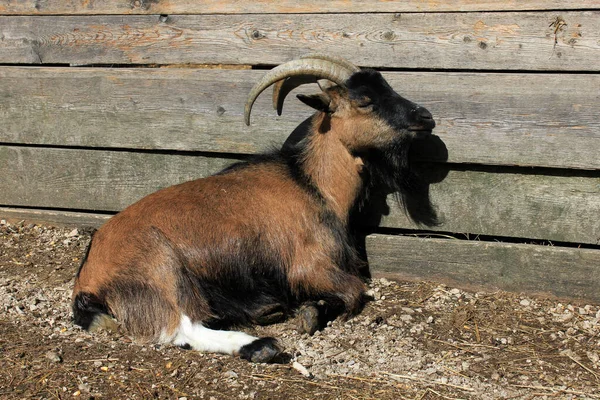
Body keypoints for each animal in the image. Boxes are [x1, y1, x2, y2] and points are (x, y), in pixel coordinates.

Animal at [72, 55, 436, 362]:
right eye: (365, 101)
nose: (426, 117)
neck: (312, 183)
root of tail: (88, 276)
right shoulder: (310, 265)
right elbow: (355, 292)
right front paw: (310, 313)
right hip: (161, 268)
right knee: (178, 326)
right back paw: (262, 345)